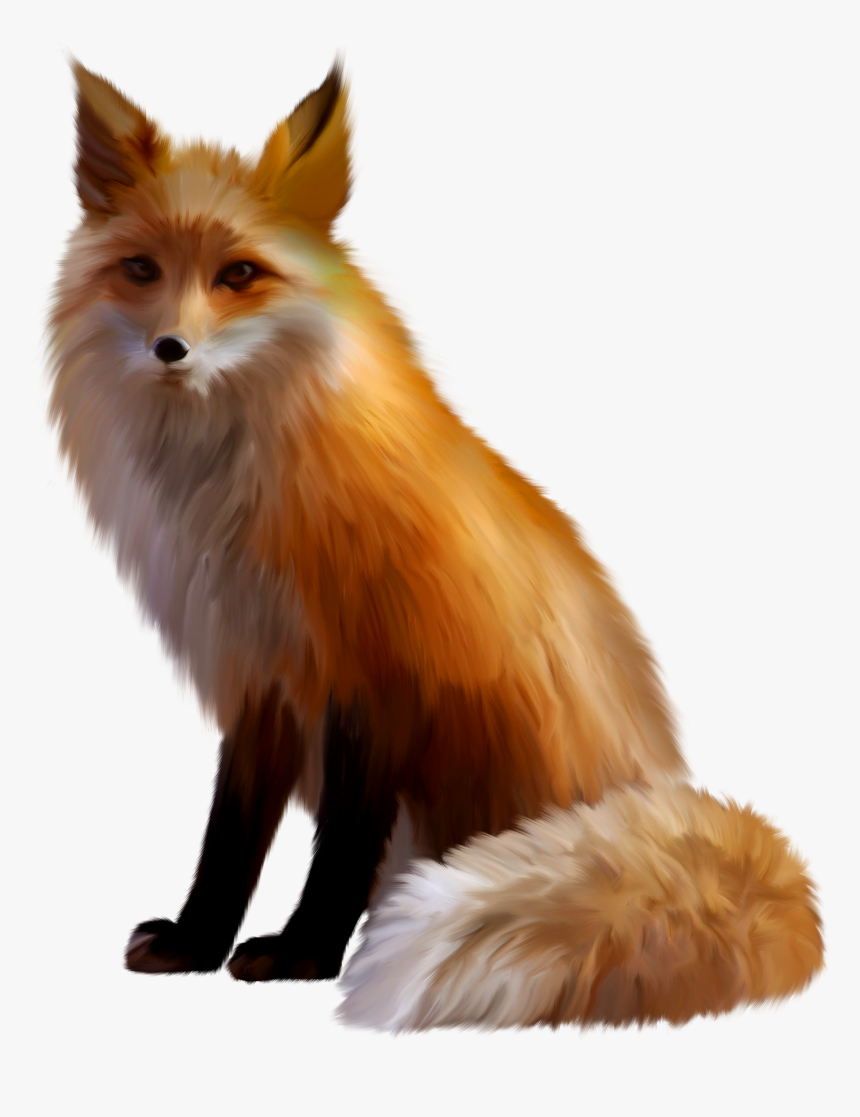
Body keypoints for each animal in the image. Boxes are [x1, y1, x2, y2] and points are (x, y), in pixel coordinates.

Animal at [48, 61, 823, 1031]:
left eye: (239, 274)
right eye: (141, 270)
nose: (170, 348)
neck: (240, 502)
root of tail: (664, 790)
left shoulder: (380, 681)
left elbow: (341, 846)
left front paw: (303, 955)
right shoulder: (258, 677)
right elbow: (229, 835)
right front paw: (197, 942)